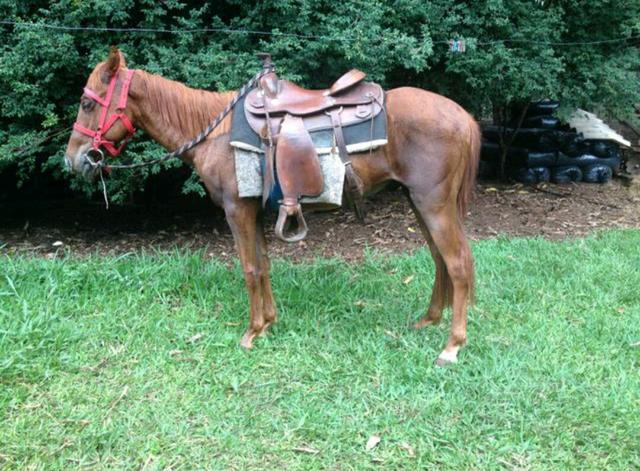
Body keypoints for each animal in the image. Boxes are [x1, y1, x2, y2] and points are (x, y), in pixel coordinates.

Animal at [64, 47, 480, 365]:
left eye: (86, 103)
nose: (74, 160)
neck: (216, 133)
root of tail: (463, 116)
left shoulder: (237, 210)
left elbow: (249, 268)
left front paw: (250, 332)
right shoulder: (254, 210)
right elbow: (263, 265)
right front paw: (268, 323)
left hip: (433, 203)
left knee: (458, 264)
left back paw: (452, 346)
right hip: (419, 202)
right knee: (440, 259)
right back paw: (430, 320)